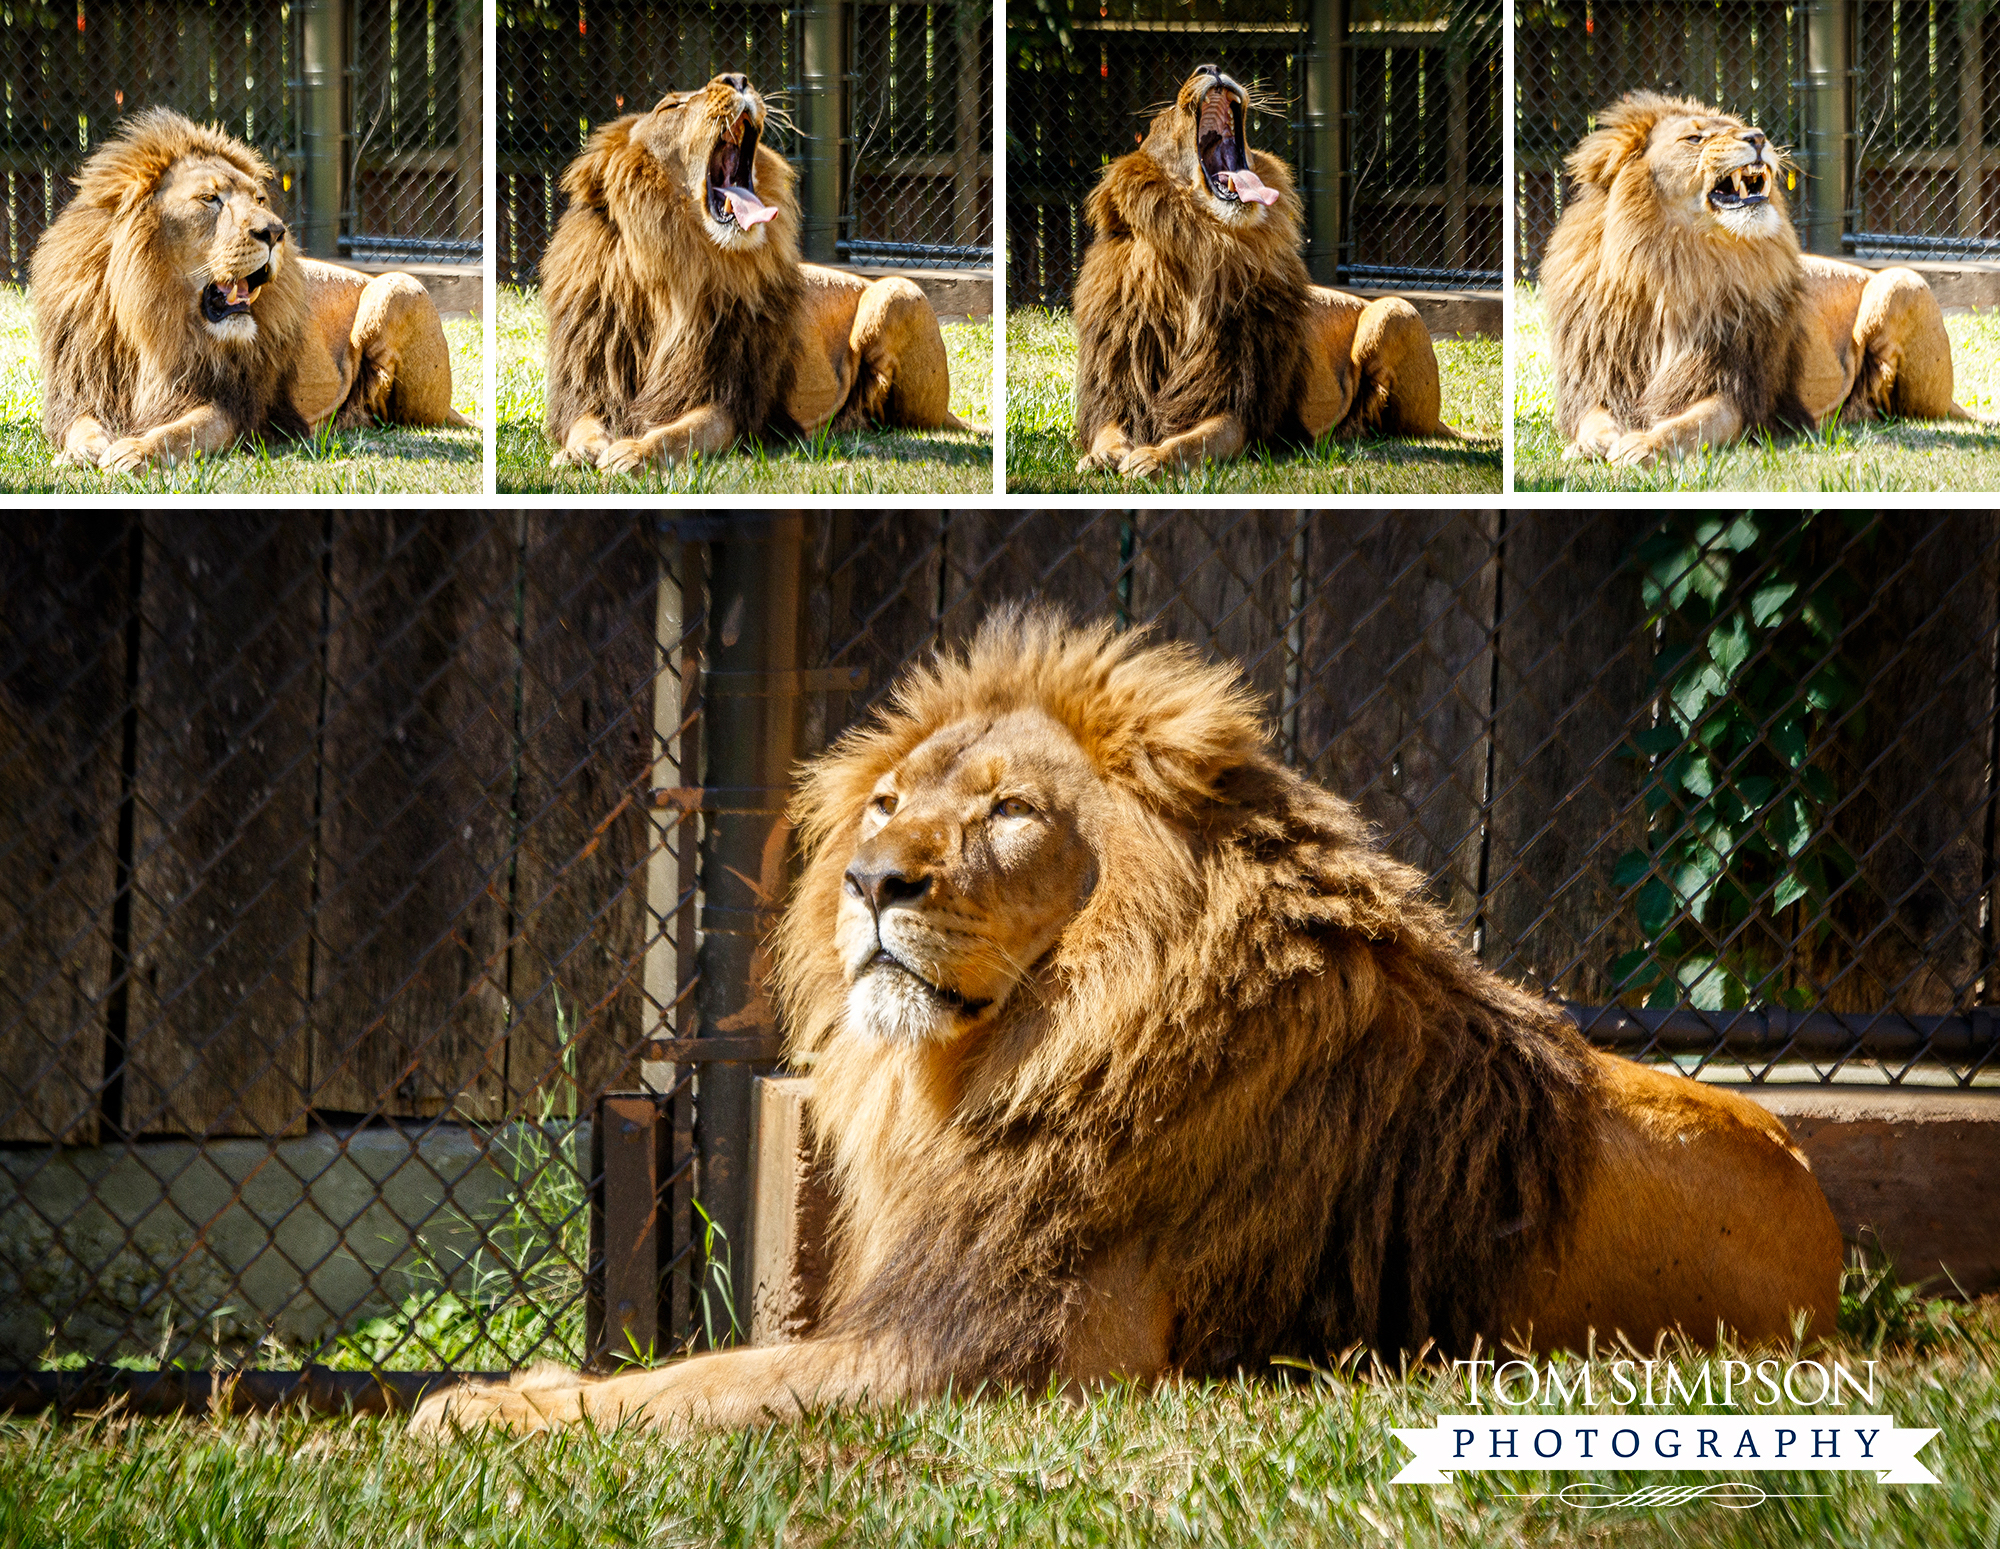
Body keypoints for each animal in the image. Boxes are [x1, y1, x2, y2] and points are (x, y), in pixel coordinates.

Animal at [31, 107, 468, 470]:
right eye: (210, 198)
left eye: (259, 199)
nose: (275, 232)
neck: (153, 320)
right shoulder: (80, 390)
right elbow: (80, 426)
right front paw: (85, 451)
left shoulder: (237, 405)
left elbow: (183, 431)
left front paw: (134, 451)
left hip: (398, 286)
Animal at [410, 608, 1840, 1440]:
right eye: (883, 805)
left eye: (1007, 812)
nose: (871, 884)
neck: (1018, 1046)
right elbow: (700, 1361)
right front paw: (523, 1387)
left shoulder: (995, 1352)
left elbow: (704, 1384)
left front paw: (480, 1413)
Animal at [536, 73, 964, 472]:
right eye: (671, 106)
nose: (737, 79)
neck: (673, 272)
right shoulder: (590, 383)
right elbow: (583, 424)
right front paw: (577, 452)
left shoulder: (735, 400)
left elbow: (683, 432)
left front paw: (635, 453)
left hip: (897, 292)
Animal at [1080, 65, 1456, 478]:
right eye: (1160, 119)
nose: (1210, 68)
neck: (1204, 247)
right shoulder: (1117, 388)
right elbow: (1107, 431)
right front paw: (1100, 456)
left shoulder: (1244, 406)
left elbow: (1197, 440)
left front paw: (1153, 458)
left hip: (1394, 311)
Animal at [1536, 90, 1976, 464]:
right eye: (1694, 138)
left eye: (1738, 127)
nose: (1759, 136)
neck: (1675, 268)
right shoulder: (1596, 380)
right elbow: (1593, 420)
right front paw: (1590, 445)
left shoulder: (1739, 389)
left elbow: (1691, 424)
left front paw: (1643, 446)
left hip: (1901, 282)